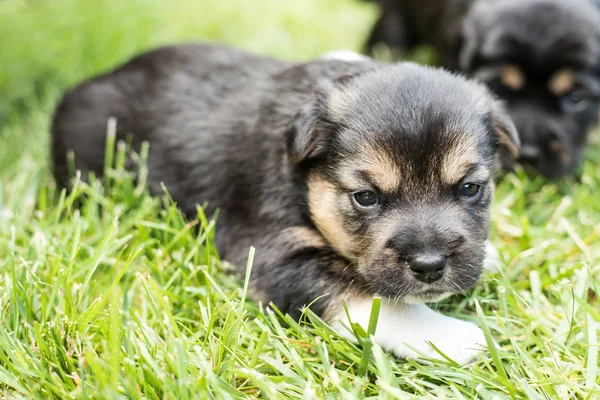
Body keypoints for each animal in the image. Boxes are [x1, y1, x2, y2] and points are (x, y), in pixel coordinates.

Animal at [51, 43, 520, 362]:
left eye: (469, 188)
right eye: (366, 198)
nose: (429, 266)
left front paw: (491, 257)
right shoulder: (275, 254)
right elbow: (373, 302)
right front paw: (454, 337)